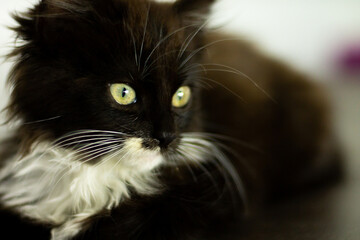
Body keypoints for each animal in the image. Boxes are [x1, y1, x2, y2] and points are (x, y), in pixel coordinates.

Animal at [0, 0, 340, 240]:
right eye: (123, 92)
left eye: (180, 95)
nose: (166, 137)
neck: (94, 171)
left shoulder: (219, 184)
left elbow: (145, 213)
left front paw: (71, 230)